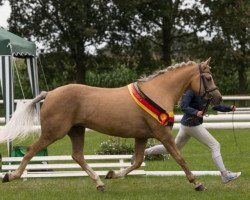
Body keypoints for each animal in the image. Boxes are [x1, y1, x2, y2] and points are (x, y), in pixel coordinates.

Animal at [0, 59, 222, 191]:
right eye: (208, 77)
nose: (218, 98)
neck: (157, 92)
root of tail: (50, 93)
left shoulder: (142, 136)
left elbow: (137, 162)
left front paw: (112, 173)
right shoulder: (162, 135)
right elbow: (179, 158)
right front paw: (197, 183)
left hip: (76, 131)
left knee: (77, 156)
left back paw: (99, 183)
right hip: (53, 132)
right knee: (31, 151)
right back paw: (11, 175)